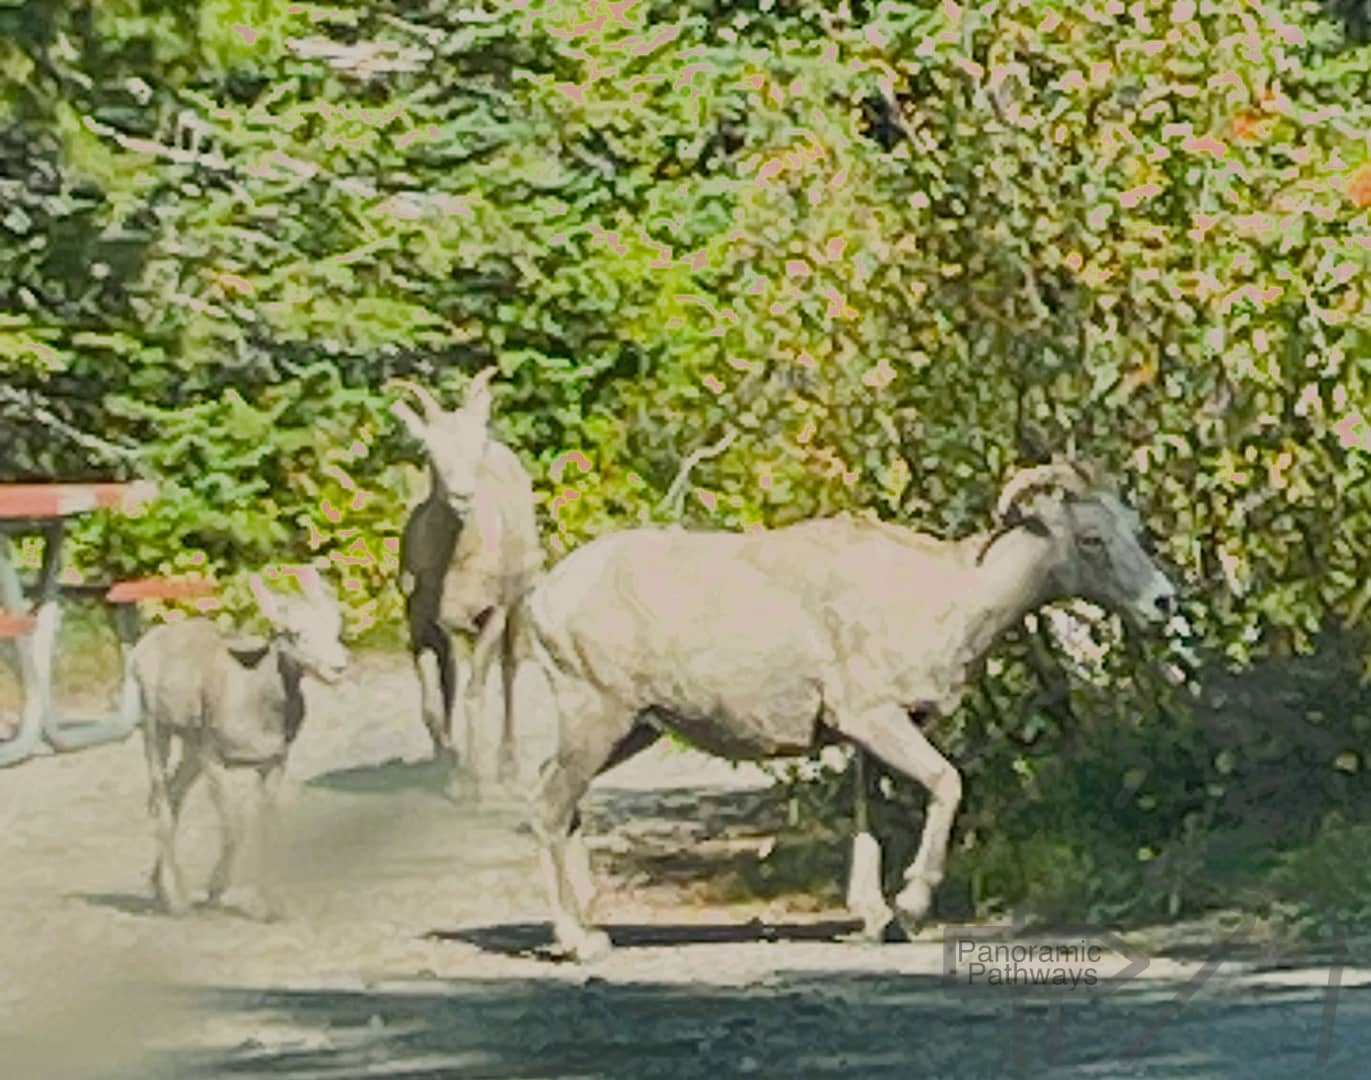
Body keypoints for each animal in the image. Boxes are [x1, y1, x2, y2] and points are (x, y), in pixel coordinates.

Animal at [131, 564, 350, 921]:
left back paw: (160, 890)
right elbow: (235, 827)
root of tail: (145, 647)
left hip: (190, 750)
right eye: (294, 633)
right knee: (162, 801)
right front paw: (215, 893)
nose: (338, 667)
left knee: (175, 795)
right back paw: (177, 904)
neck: (258, 704)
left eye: (335, 624)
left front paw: (272, 908)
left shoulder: (273, 764)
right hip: (156, 732)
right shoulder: (214, 761)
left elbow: (267, 826)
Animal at [389, 367, 542, 794]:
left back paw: (506, 767)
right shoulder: (424, 624)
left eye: (478, 445)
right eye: (430, 449)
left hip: (519, 608)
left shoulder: (492, 615)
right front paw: (448, 768)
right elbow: (435, 701)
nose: (462, 496)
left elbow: (474, 693)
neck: (454, 565)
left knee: (508, 671)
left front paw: (471, 783)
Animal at [515, 460, 1179, 959]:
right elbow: (948, 784)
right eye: (1091, 539)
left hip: (632, 731)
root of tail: (546, 596)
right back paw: (580, 942)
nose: (1163, 602)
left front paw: (875, 919)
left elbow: (869, 817)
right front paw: (909, 908)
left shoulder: (871, 739)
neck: (947, 598)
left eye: (1133, 529)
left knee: (562, 805)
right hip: (598, 717)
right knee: (548, 805)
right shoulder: (876, 721)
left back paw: (593, 922)